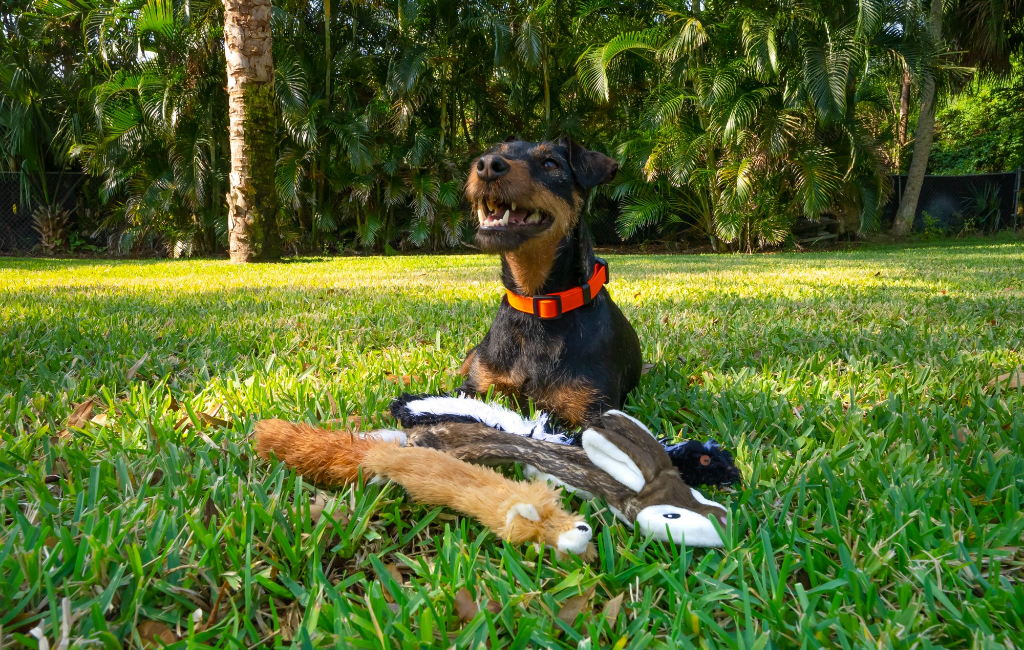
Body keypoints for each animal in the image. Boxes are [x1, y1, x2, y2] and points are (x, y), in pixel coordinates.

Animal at [462, 137, 643, 427]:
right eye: (493, 153)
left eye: (550, 164)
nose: (487, 165)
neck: (537, 303)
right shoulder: (473, 388)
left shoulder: (594, 409)